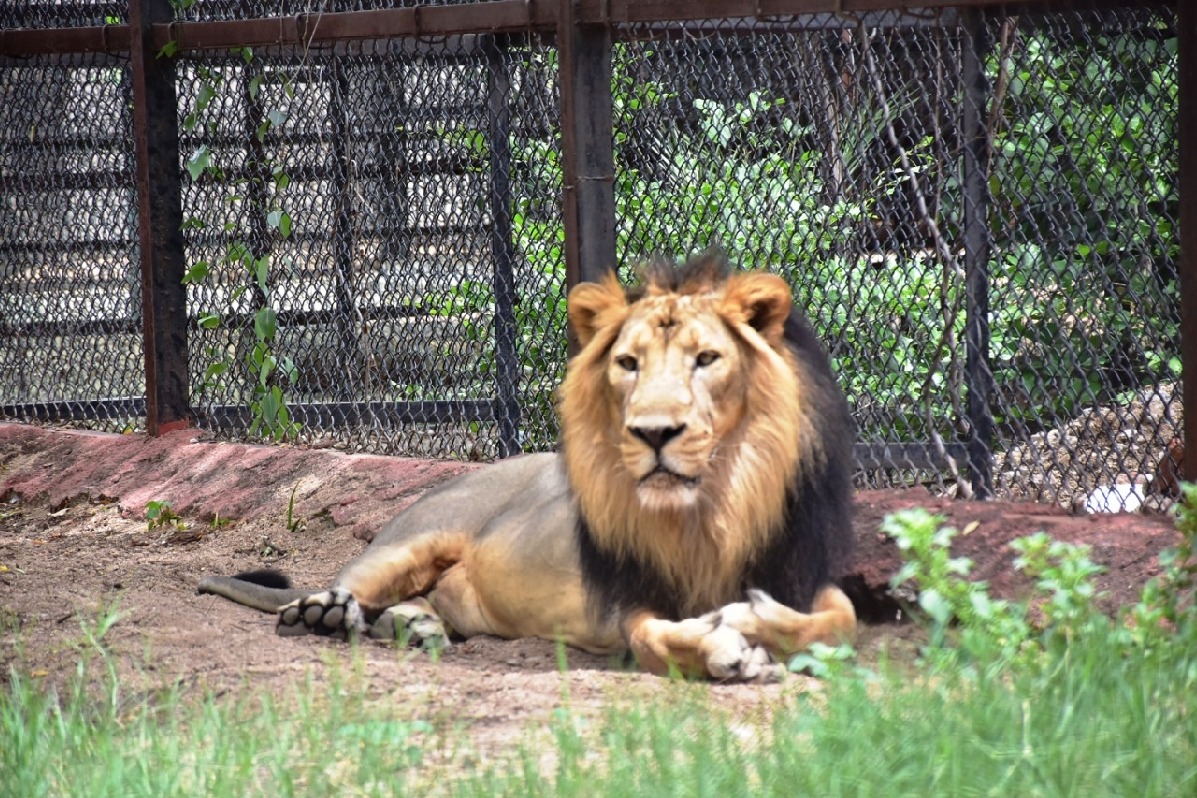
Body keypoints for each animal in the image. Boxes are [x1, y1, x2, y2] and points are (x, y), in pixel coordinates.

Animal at [199, 253, 857, 680]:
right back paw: (326, 613)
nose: (654, 432)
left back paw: (417, 628)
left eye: (707, 359)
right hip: (405, 544)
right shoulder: (628, 602)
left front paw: (751, 620)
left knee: (407, 609)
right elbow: (656, 641)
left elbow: (839, 620)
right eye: (628, 363)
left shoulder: (804, 572)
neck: (707, 509)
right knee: (340, 595)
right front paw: (730, 647)